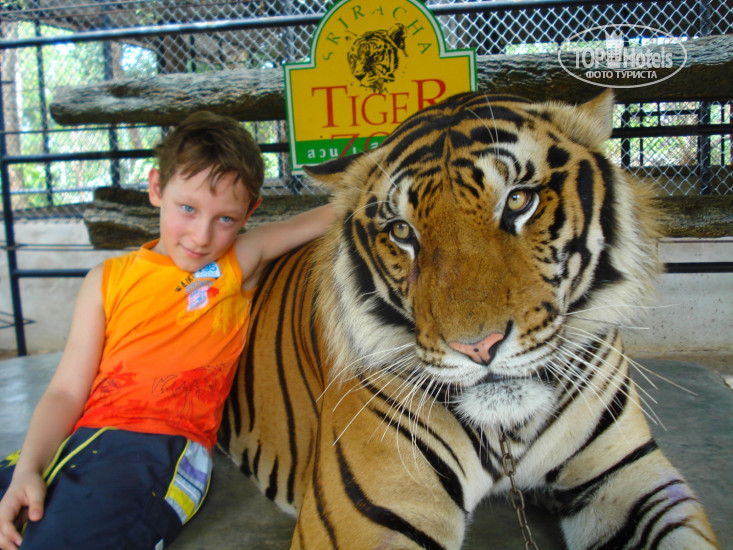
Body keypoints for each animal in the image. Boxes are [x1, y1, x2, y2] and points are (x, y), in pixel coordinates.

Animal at [218, 91, 719, 549]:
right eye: (401, 231)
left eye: (518, 200)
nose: (478, 347)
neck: (508, 432)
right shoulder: (373, 514)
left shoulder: (629, 476)